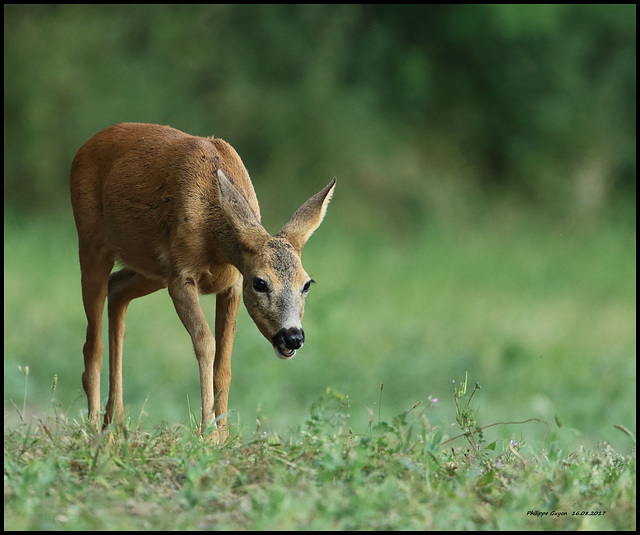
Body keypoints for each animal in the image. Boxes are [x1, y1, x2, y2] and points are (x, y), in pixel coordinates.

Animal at [69, 123, 336, 442]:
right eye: (260, 283)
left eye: (307, 284)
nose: (292, 337)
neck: (214, 239)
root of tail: (84, 147)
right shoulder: (181, 276)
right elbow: (206, 342)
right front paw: (207, 433)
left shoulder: (231, 285)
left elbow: (225, 360)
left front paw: (223, 436)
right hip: (92, 244)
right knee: (91, 343)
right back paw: (93, 429)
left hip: (151, 269)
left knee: (117, 290)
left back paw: (115, 422)